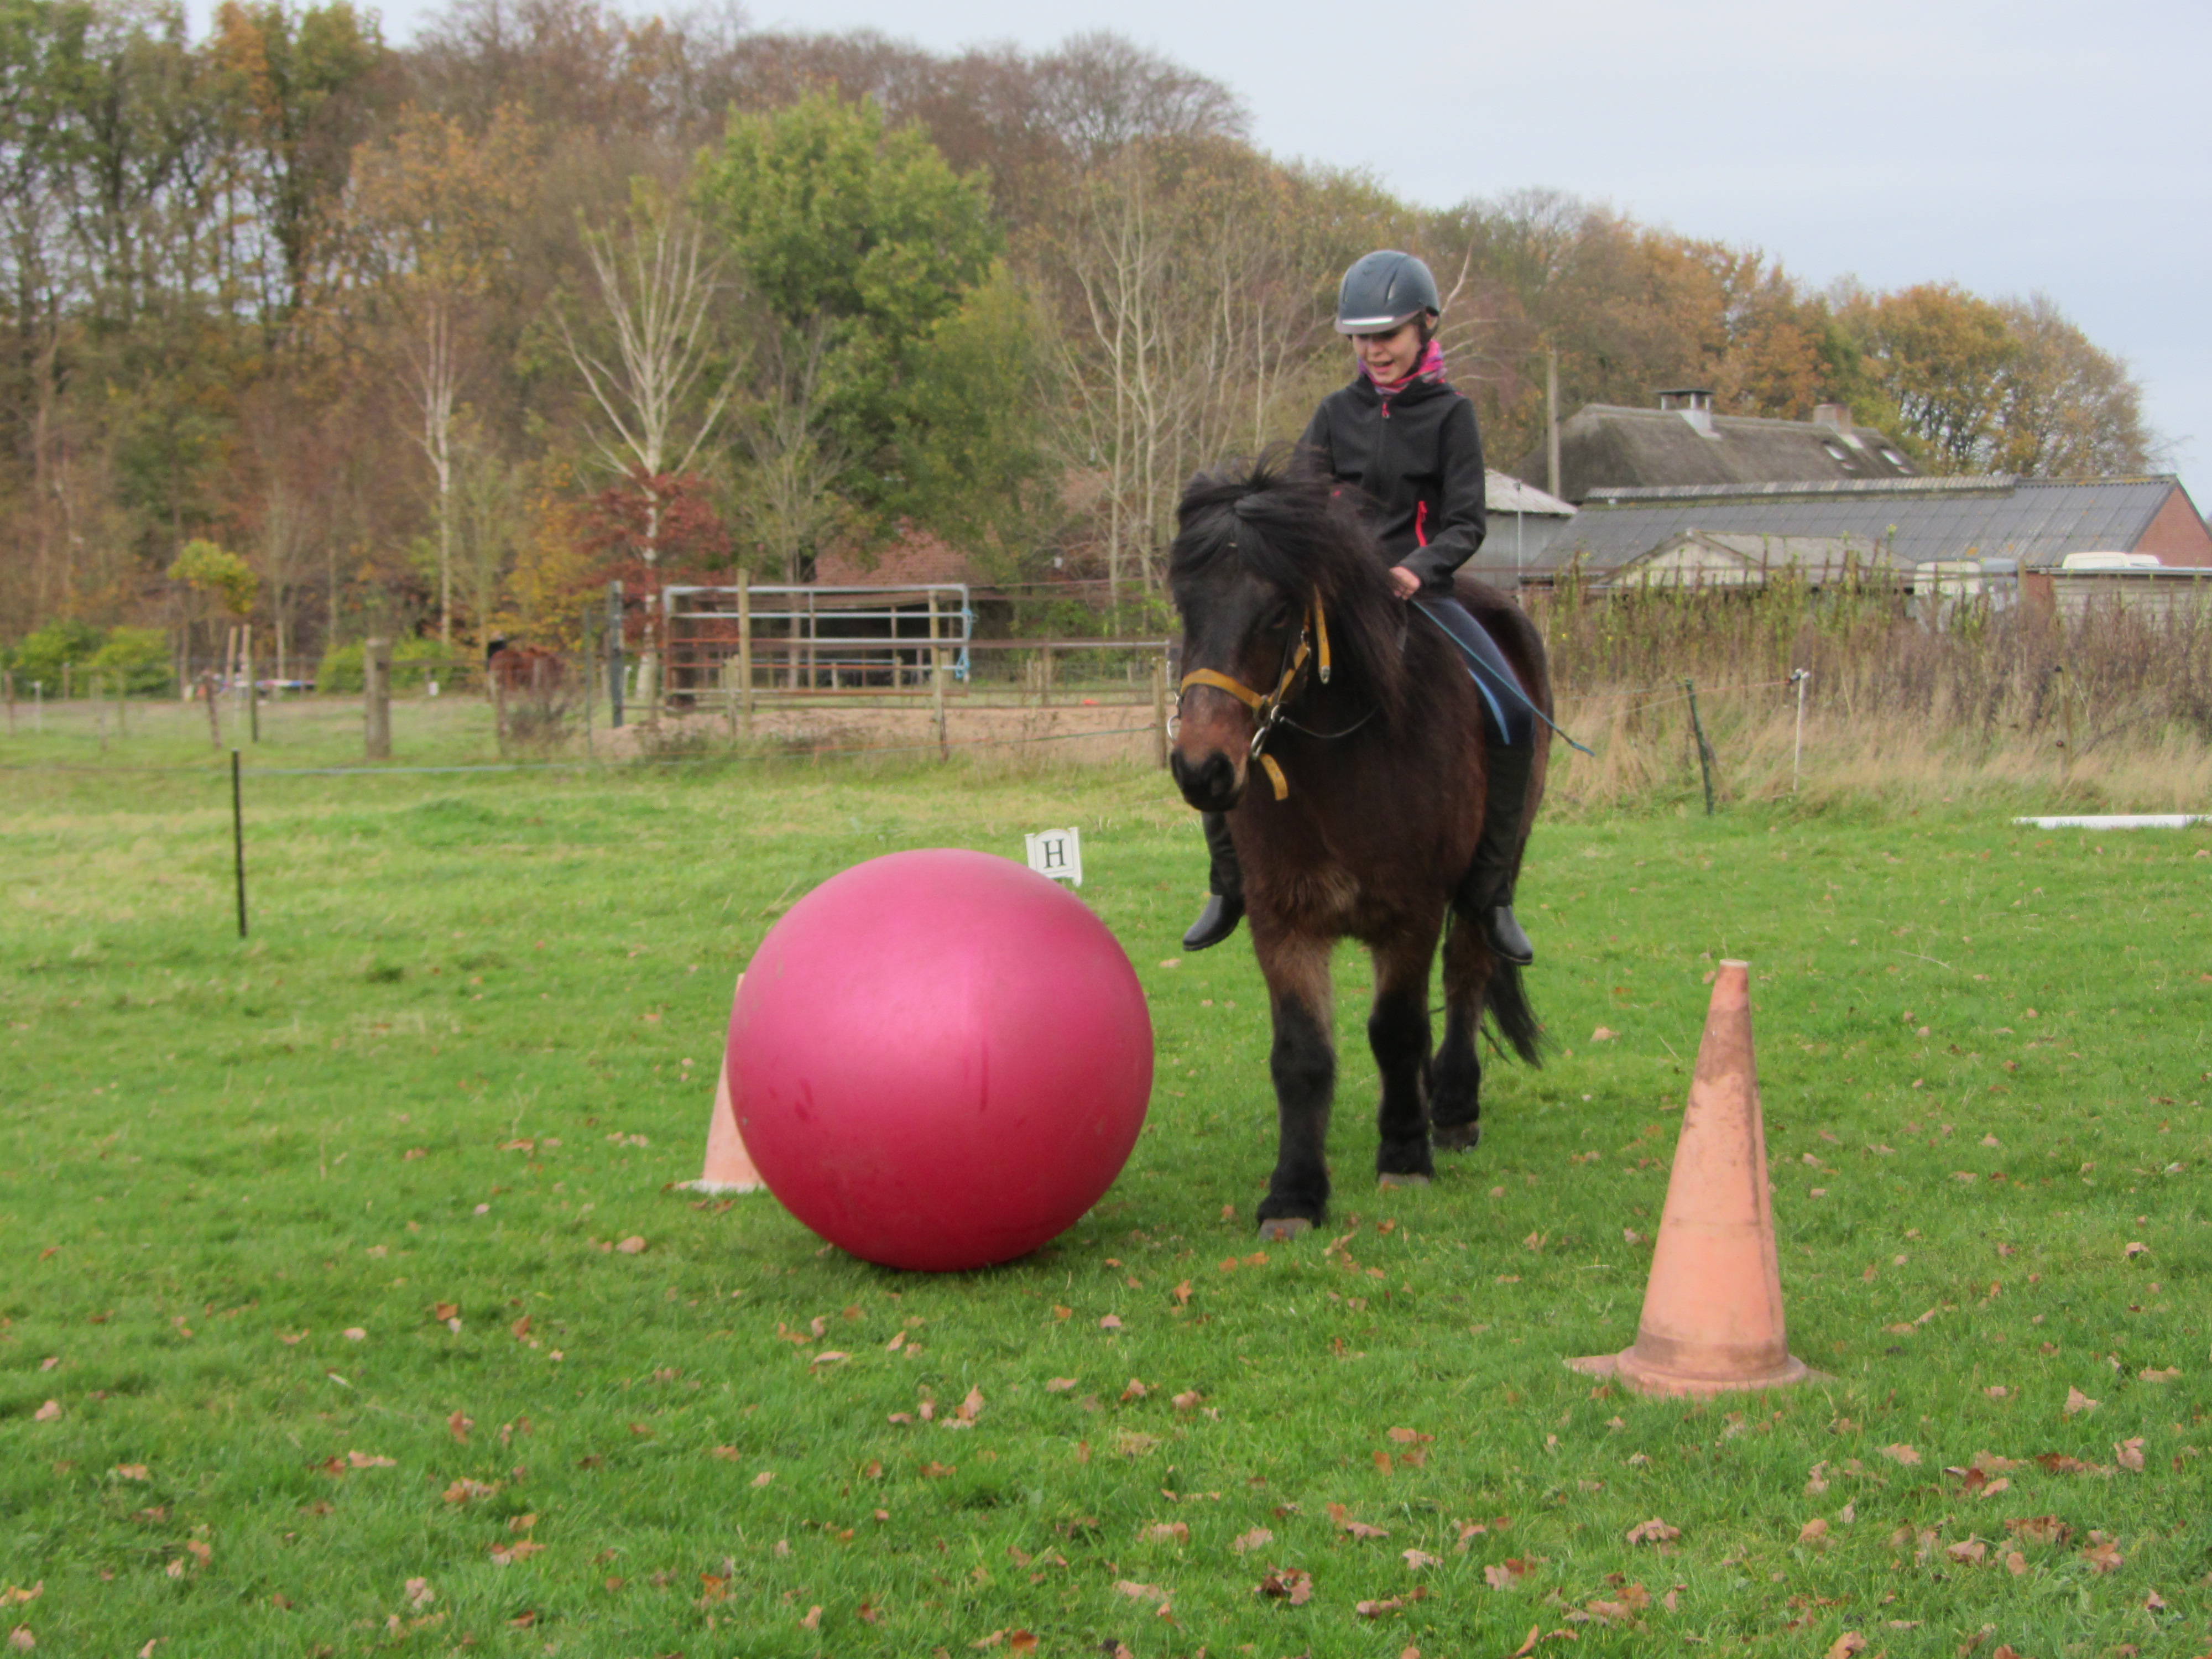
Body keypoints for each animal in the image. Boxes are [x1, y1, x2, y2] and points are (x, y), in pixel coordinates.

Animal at [1167, 452, 1552, 1239]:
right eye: (1187, 606)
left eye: (1277, 611)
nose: (1202, 769)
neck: (1340, 760)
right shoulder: (1282, 921)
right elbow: (1301, 1055)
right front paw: (1293, 1195)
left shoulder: (1409, 913)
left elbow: (1395, 1032)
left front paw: (1403, 1157)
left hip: (1485, 880)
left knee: (1467, 974)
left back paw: (1453, 1108)